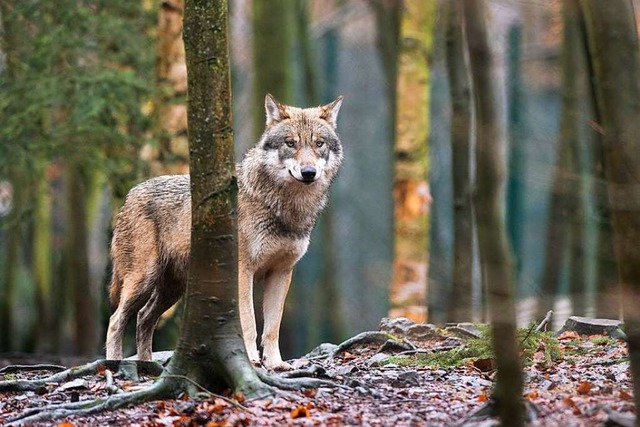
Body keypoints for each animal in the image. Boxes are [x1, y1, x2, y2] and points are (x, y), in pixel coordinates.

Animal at [105, 93, 344, 372]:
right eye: (290, 143)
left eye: (318, 144)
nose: (308, 173)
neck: (285, 207)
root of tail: (130, 194)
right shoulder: (243, 271)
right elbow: (249, 322)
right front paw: (251, 360)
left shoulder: (281, 272)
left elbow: (273, 327)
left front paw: (276, 364)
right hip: (143, 280)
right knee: (116, 319)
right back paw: (114, 363)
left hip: (172, 289)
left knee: (144, 318)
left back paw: (147, 365)